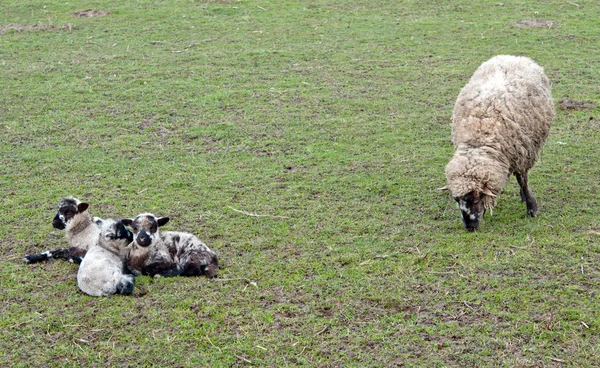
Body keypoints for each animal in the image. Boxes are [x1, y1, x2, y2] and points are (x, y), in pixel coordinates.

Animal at [438, 55, 556, 230]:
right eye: (456, 200)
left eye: (475, 198)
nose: (470, 227)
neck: (479, 139)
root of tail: (513, 57)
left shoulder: (521, 155)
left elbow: (523, 181)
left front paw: (531, 208)